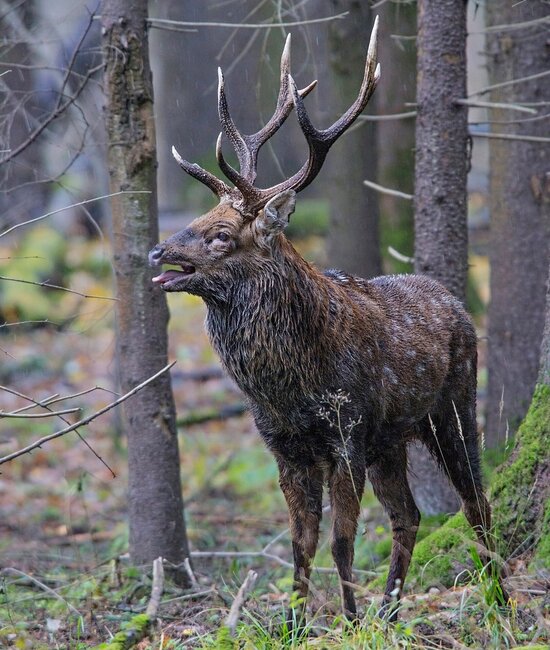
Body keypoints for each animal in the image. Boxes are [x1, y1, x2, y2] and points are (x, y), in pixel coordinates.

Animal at [149, 19, 498, 616]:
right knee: (409, 514)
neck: (287, 385)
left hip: (452, 405)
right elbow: (301, 542)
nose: (157, 252)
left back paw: (497, 594)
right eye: (201, 217)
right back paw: (391, 608)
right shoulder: (285, 447)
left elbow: (341, 540)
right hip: (390, 440)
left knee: (475, 498)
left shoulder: (346, 432)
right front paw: (295, 620)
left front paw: (348, 621)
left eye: (221, 234)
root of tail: (453, 299)